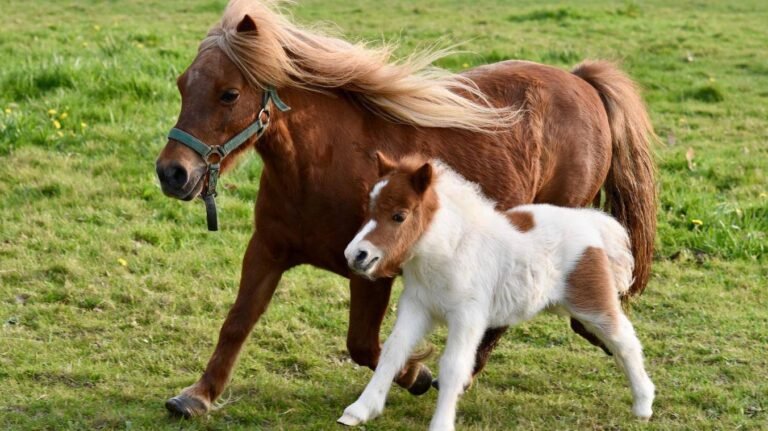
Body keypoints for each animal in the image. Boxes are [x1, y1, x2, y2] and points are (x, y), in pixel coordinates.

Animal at [339, 154, 655, 430]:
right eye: (369, 210)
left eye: (399, 216)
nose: (356, 255)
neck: (450, 250)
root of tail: (590, 222)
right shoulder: (417, 307)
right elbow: (393, 351)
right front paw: (360, 410)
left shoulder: (467, 316)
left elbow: (453, 366)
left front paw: (441, 424)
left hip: (592, 303)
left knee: (624, 340)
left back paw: (643, 404)